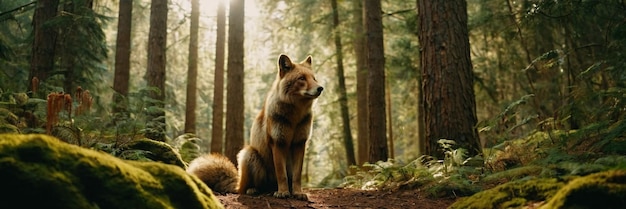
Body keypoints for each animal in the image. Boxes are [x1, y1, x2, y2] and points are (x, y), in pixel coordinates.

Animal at [185, 54, 322, 201]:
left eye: (314, 78)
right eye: (301, 78)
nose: (321, 88)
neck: (294, 118)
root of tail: (237, 183)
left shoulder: (299, 143)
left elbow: (297, 176)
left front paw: (297, 193)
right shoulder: (277, 143)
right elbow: (281, 174)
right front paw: (283, 192)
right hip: (249, 154)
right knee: (244, 189)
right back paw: (255, 190)